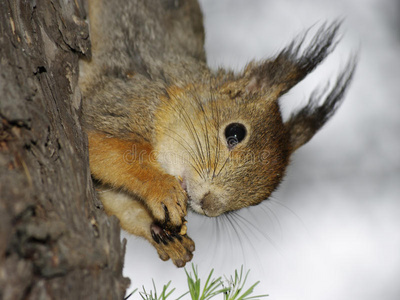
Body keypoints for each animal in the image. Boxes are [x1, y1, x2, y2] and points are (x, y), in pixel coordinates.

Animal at [78, 0, 356, 268]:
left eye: (259, 200)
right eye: (234, 132)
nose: (209, 206)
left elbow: (119, 202)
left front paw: (166, 235)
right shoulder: (118, 100)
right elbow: (108, 151)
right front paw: (162, 188)